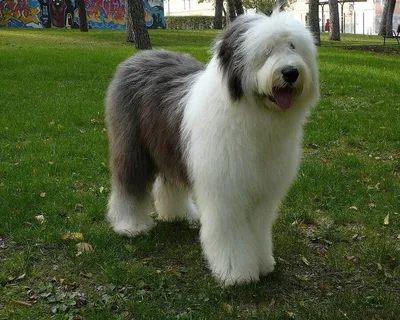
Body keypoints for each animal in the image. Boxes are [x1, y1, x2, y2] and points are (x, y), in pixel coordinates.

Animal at [104, 11, 320, 284]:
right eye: (266, 50)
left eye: (292, 46)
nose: (290, 72)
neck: (254, 116)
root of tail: (139, 56)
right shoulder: (225, 189)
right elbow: (230, 231)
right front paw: (236, 272)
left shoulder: (263, 191)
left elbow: (258, 229)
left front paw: (262, 263)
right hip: (132, 145)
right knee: (129, 182)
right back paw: (130, 225)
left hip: (171, 146)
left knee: (168, 182)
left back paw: (177, 213)